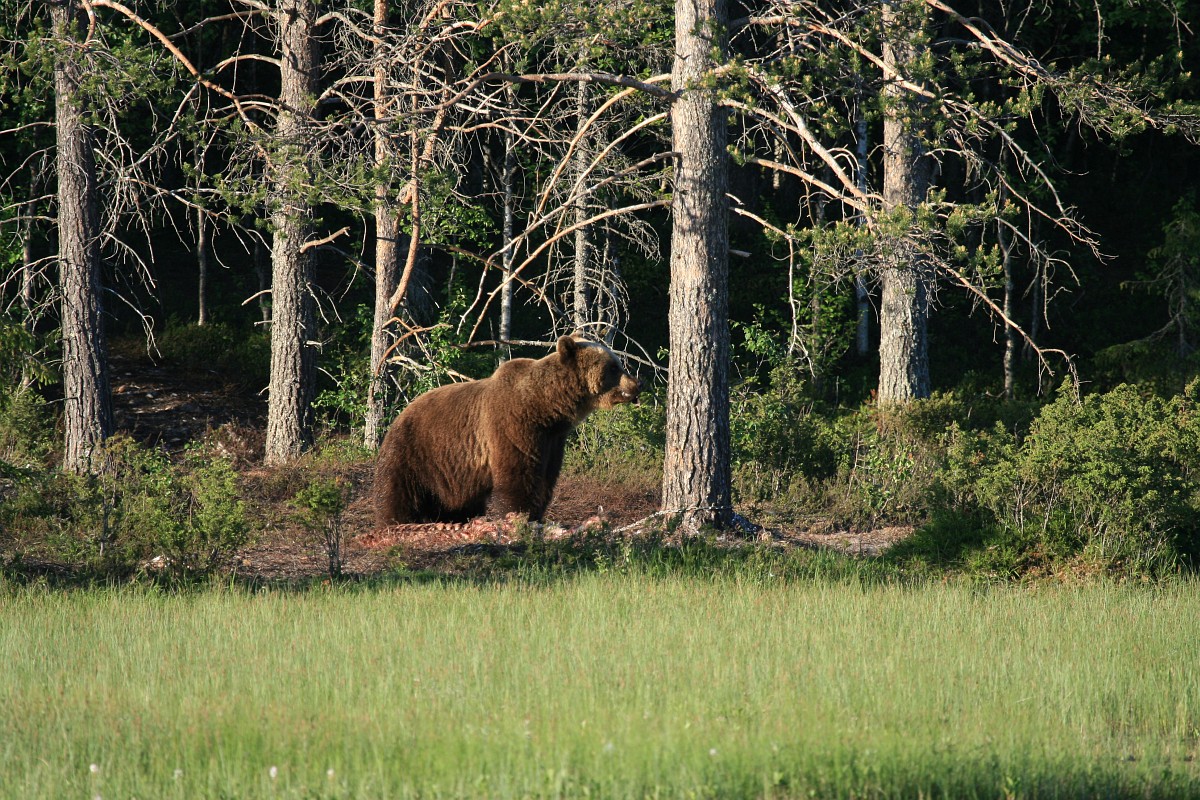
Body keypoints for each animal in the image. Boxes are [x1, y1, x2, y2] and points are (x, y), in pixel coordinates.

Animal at [373, 335, 642, 527]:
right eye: (614, 367)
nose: (638, 383)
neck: (545, 407)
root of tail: (399, 415)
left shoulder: (552, 439)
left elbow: (545, 479)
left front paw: (537, 514)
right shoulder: (512, 425)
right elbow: (518, 476)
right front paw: (519, 516)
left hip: (452, 469)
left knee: (457, 501)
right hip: (416, 451)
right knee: (399, 492)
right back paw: (395, 522)